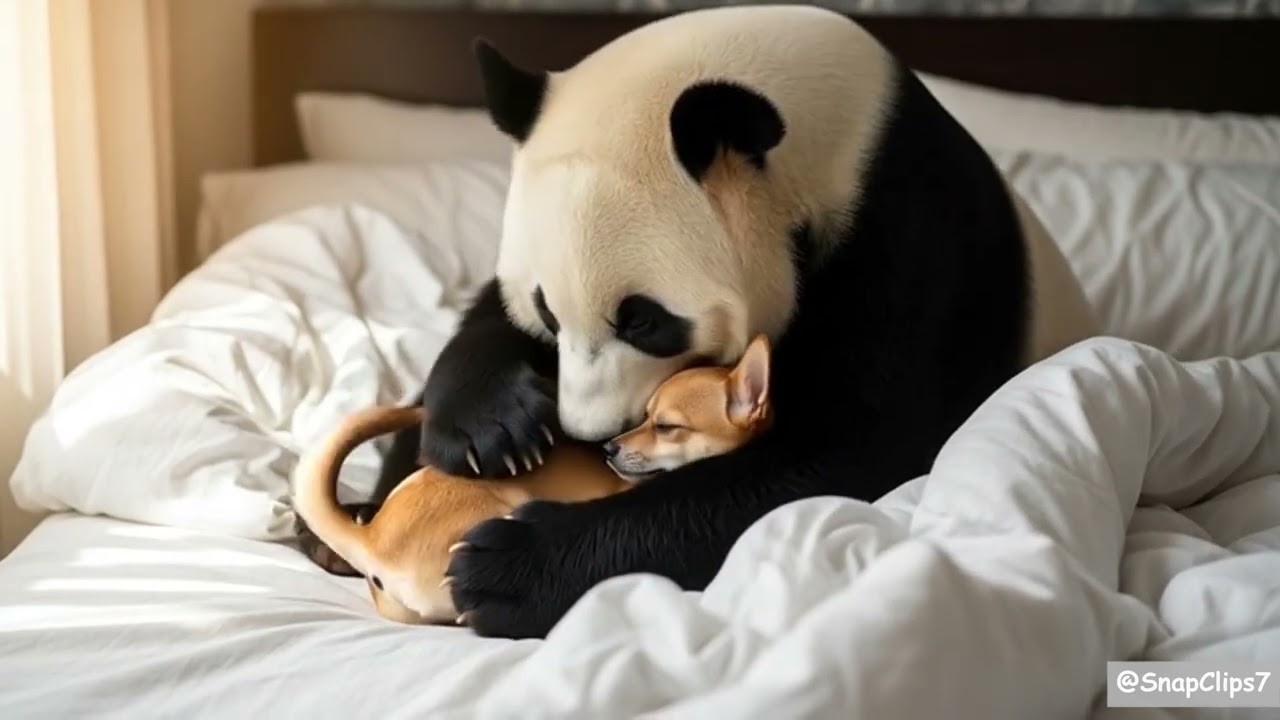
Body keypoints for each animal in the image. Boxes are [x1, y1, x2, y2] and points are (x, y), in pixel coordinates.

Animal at [299, 5, 1099, 638]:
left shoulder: (911, 237)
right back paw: (345, 529)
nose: (588, 435)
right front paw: (491, 429)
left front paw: (510, 569)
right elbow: (483, 326)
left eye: (643, 322)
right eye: (549, 314)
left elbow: (859, 448)